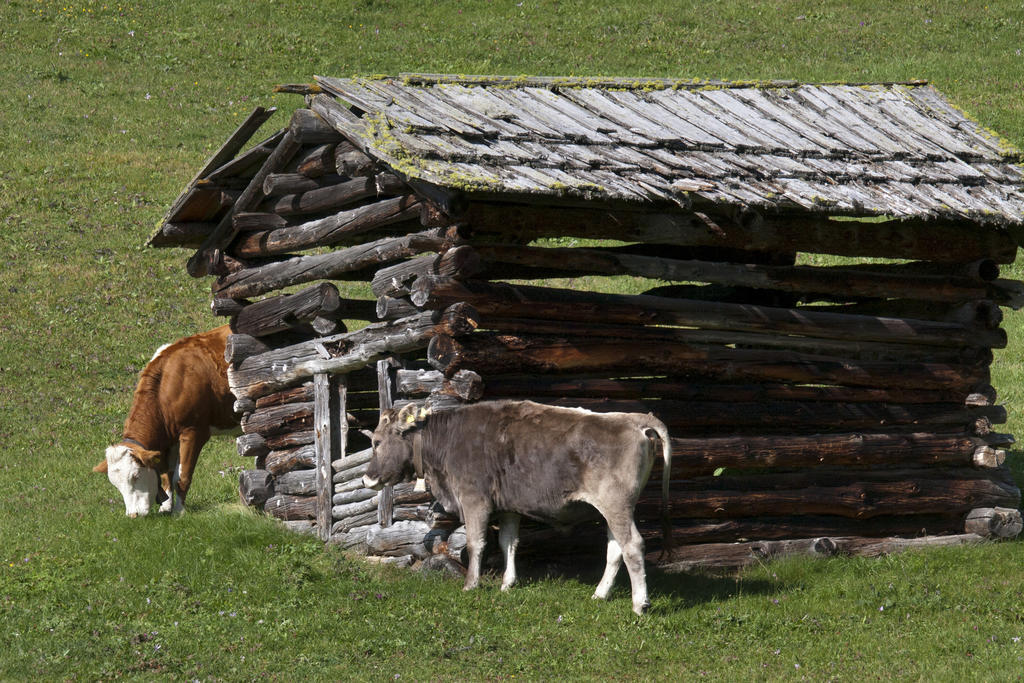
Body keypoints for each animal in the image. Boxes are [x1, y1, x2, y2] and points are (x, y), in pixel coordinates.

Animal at [93, 325, 237, 518]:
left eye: (136, 476)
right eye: (115, 484)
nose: (132, 515)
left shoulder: (194, 432)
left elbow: (181, 477)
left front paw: (178, 511)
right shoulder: (166, 441)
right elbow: (165, 474)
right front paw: (166, 507)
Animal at [362, 397, 671, 618]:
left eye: (376, 442)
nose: (367, 478)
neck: (448, 439)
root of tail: (632, 418)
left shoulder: (474, 500)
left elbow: (476, 543)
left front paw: (471, 584)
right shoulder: (509, 508)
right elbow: (508, 543)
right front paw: (507, 583)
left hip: (617, 506)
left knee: (632, 546)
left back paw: (639, 604)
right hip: (614, 510)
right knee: (615, 549)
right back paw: (600, 594)